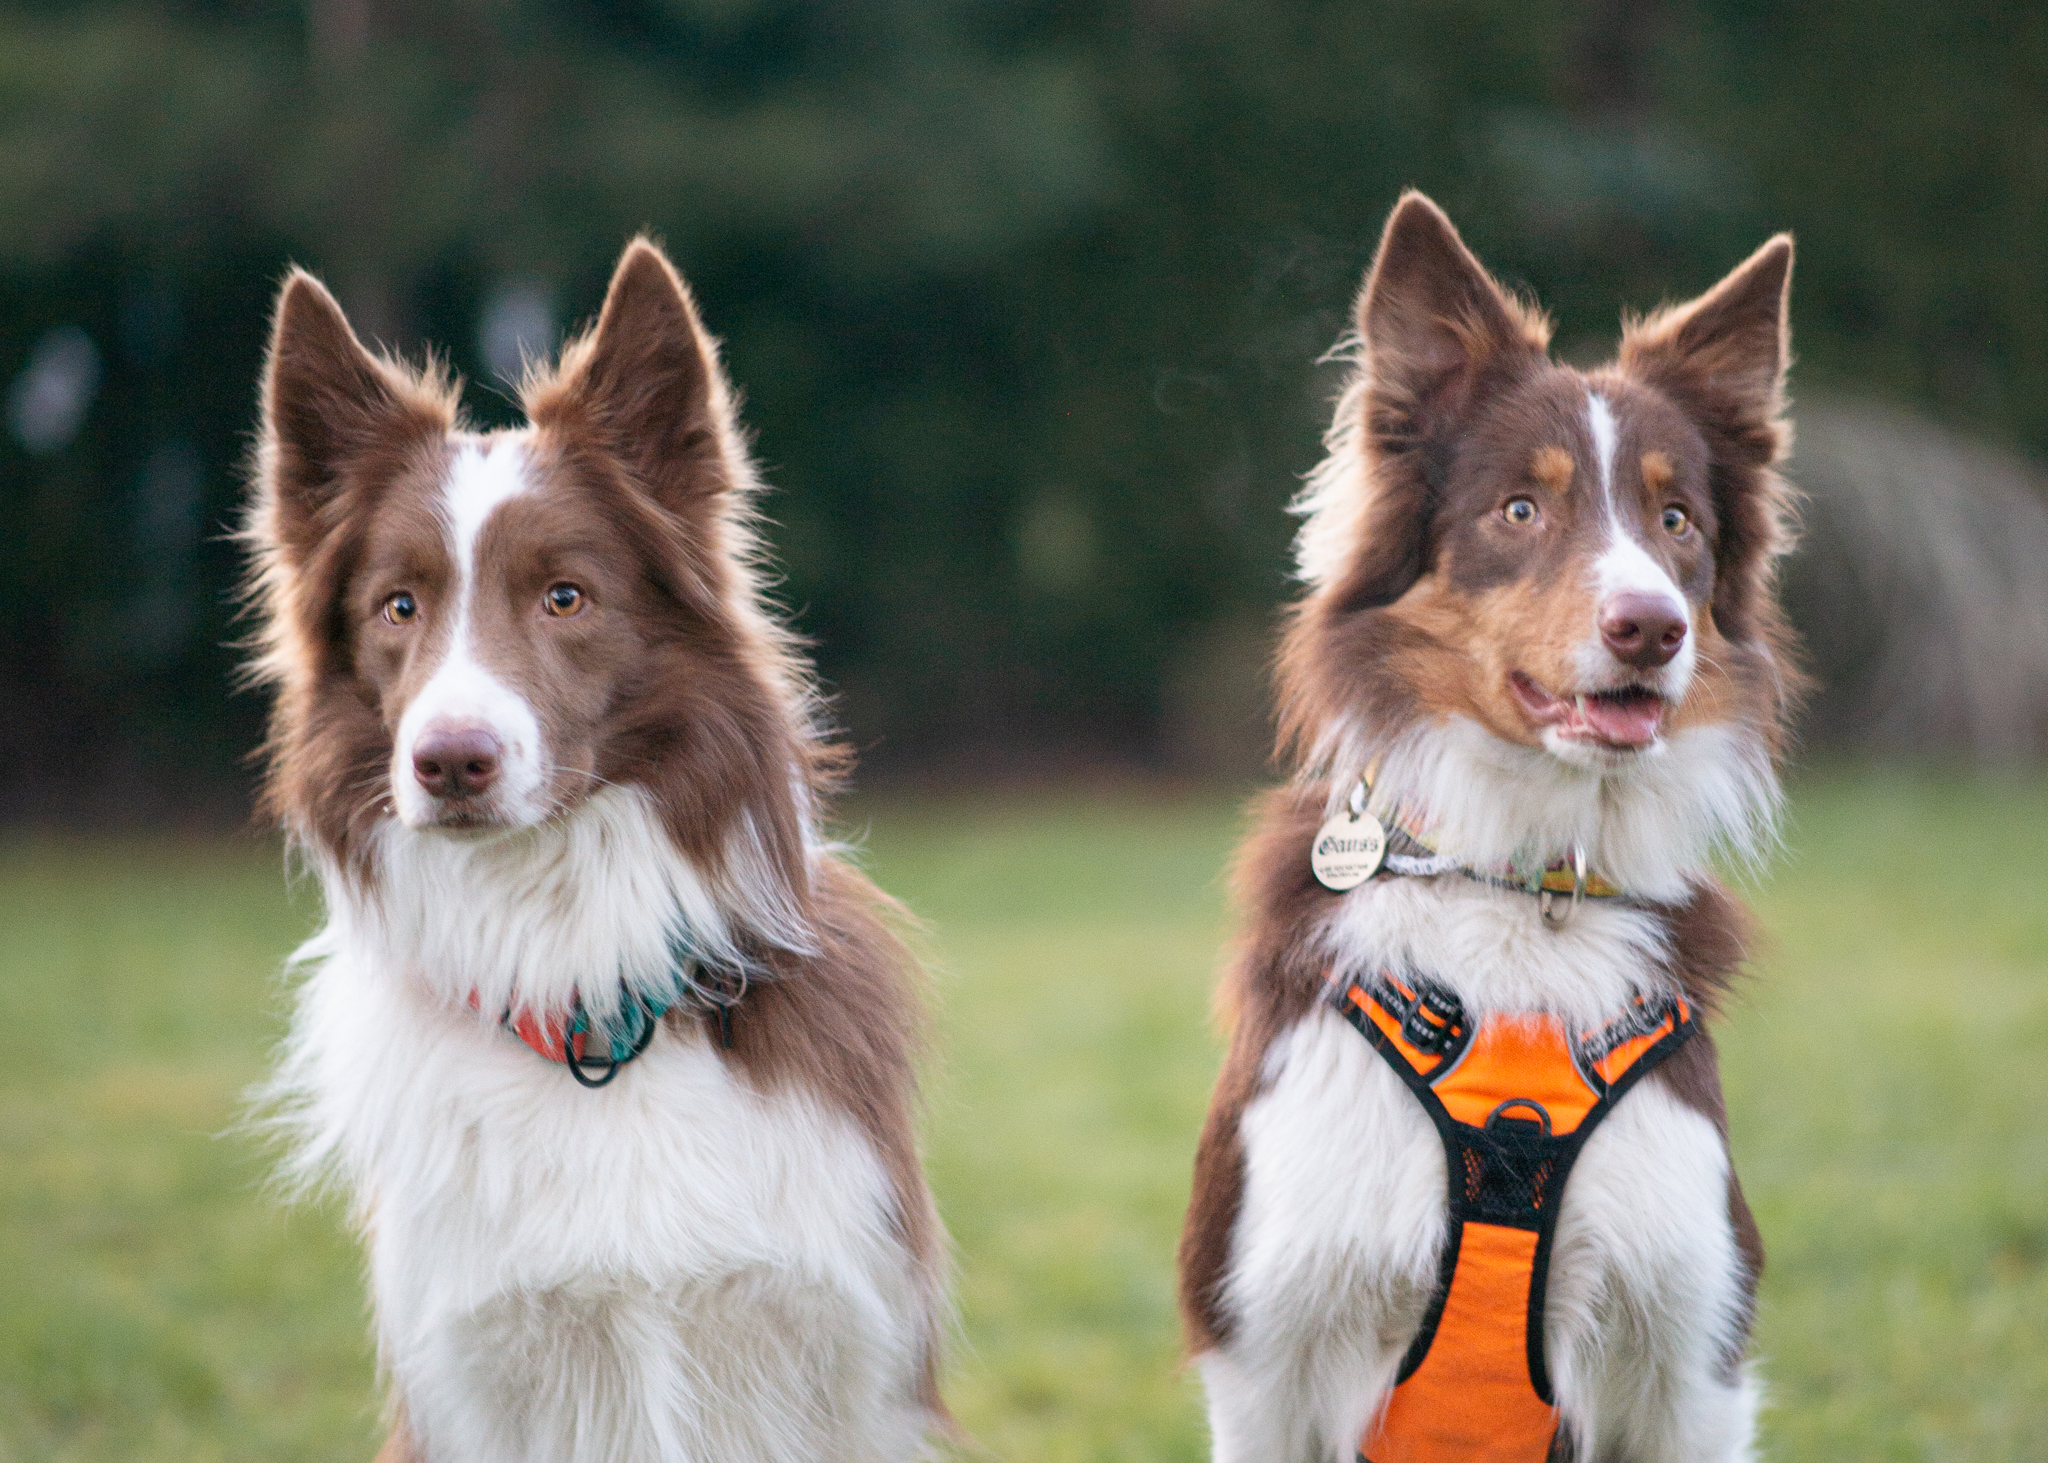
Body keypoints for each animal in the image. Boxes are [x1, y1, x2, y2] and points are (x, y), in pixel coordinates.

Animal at [245, 241, 942, 1458]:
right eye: (397, 606)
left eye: (565, 596)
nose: (450, 761)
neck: (589, 997)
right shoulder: (473, 1376)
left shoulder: (849, 1356)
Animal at [1179, 196, 1802, 1458]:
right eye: (1521, 508)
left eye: (1675, 520)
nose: (1650, 626)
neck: (1524, 883)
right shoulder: (1263, 1347)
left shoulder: (1688, 1359)